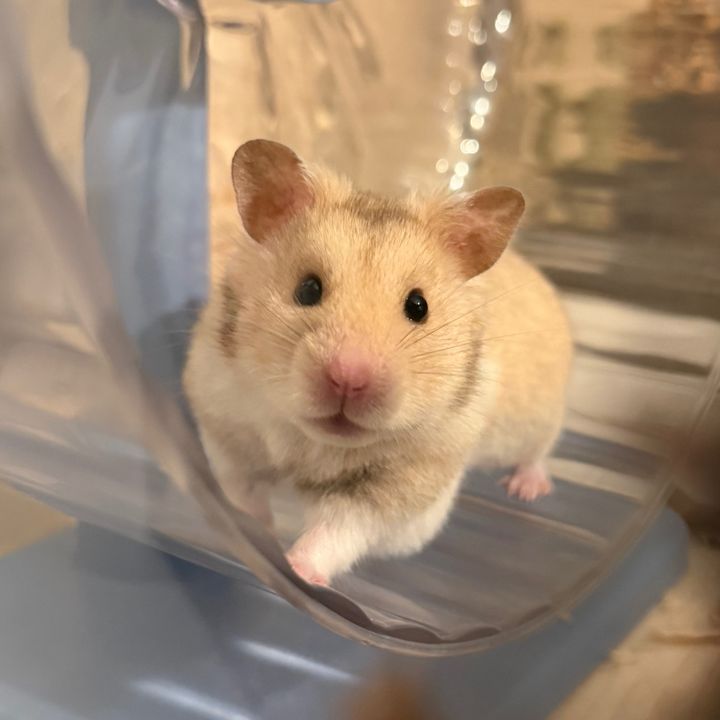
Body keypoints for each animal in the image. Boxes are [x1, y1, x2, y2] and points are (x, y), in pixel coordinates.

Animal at [183, 139, 573, 586]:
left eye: (418, 306)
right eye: (307, 289)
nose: (349, 379)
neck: (314, 443)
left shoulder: (406, 483)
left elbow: (340, 528)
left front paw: (297, 572)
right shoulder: (225, 425)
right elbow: (241, 492)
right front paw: (251, 535)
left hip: (539, 422)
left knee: (539, 453)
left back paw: (525, 488)